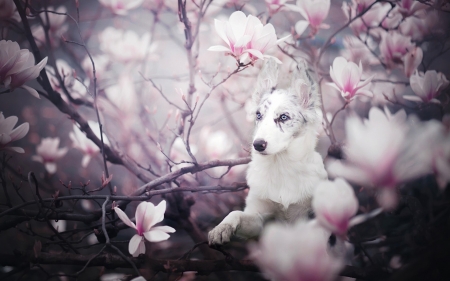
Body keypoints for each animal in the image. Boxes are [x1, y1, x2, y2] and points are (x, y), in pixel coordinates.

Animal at [207, 58, 326, 243]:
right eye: (258, 115)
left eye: (283, 117)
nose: (257, 145)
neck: (281, 165)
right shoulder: (258, 219)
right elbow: (236, 213)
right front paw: (222, 228)